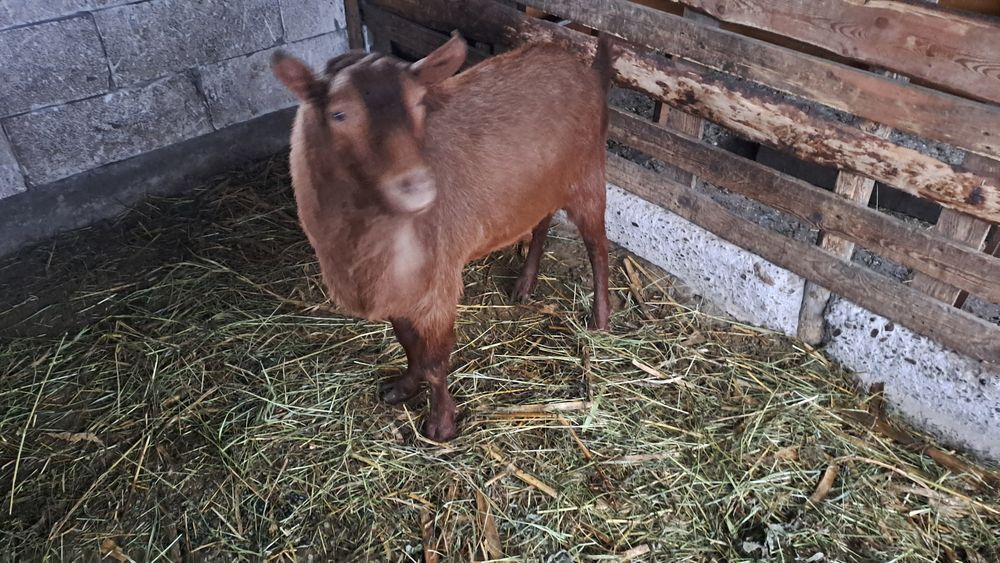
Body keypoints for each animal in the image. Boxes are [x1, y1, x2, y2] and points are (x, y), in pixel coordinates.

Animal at [271, 32, 614, 441]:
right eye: (338, 114)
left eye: (419, 103)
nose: (417, 188)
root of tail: (581, 64)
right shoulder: (394, 286)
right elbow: (408, 343)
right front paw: (403, 387)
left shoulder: (437, 283)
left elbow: (436, 360)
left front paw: (440, 424)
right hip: (542, 184)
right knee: (542, 222)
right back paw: (525, 285)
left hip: (588, 173)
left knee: (598, 247)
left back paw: (600, 319)